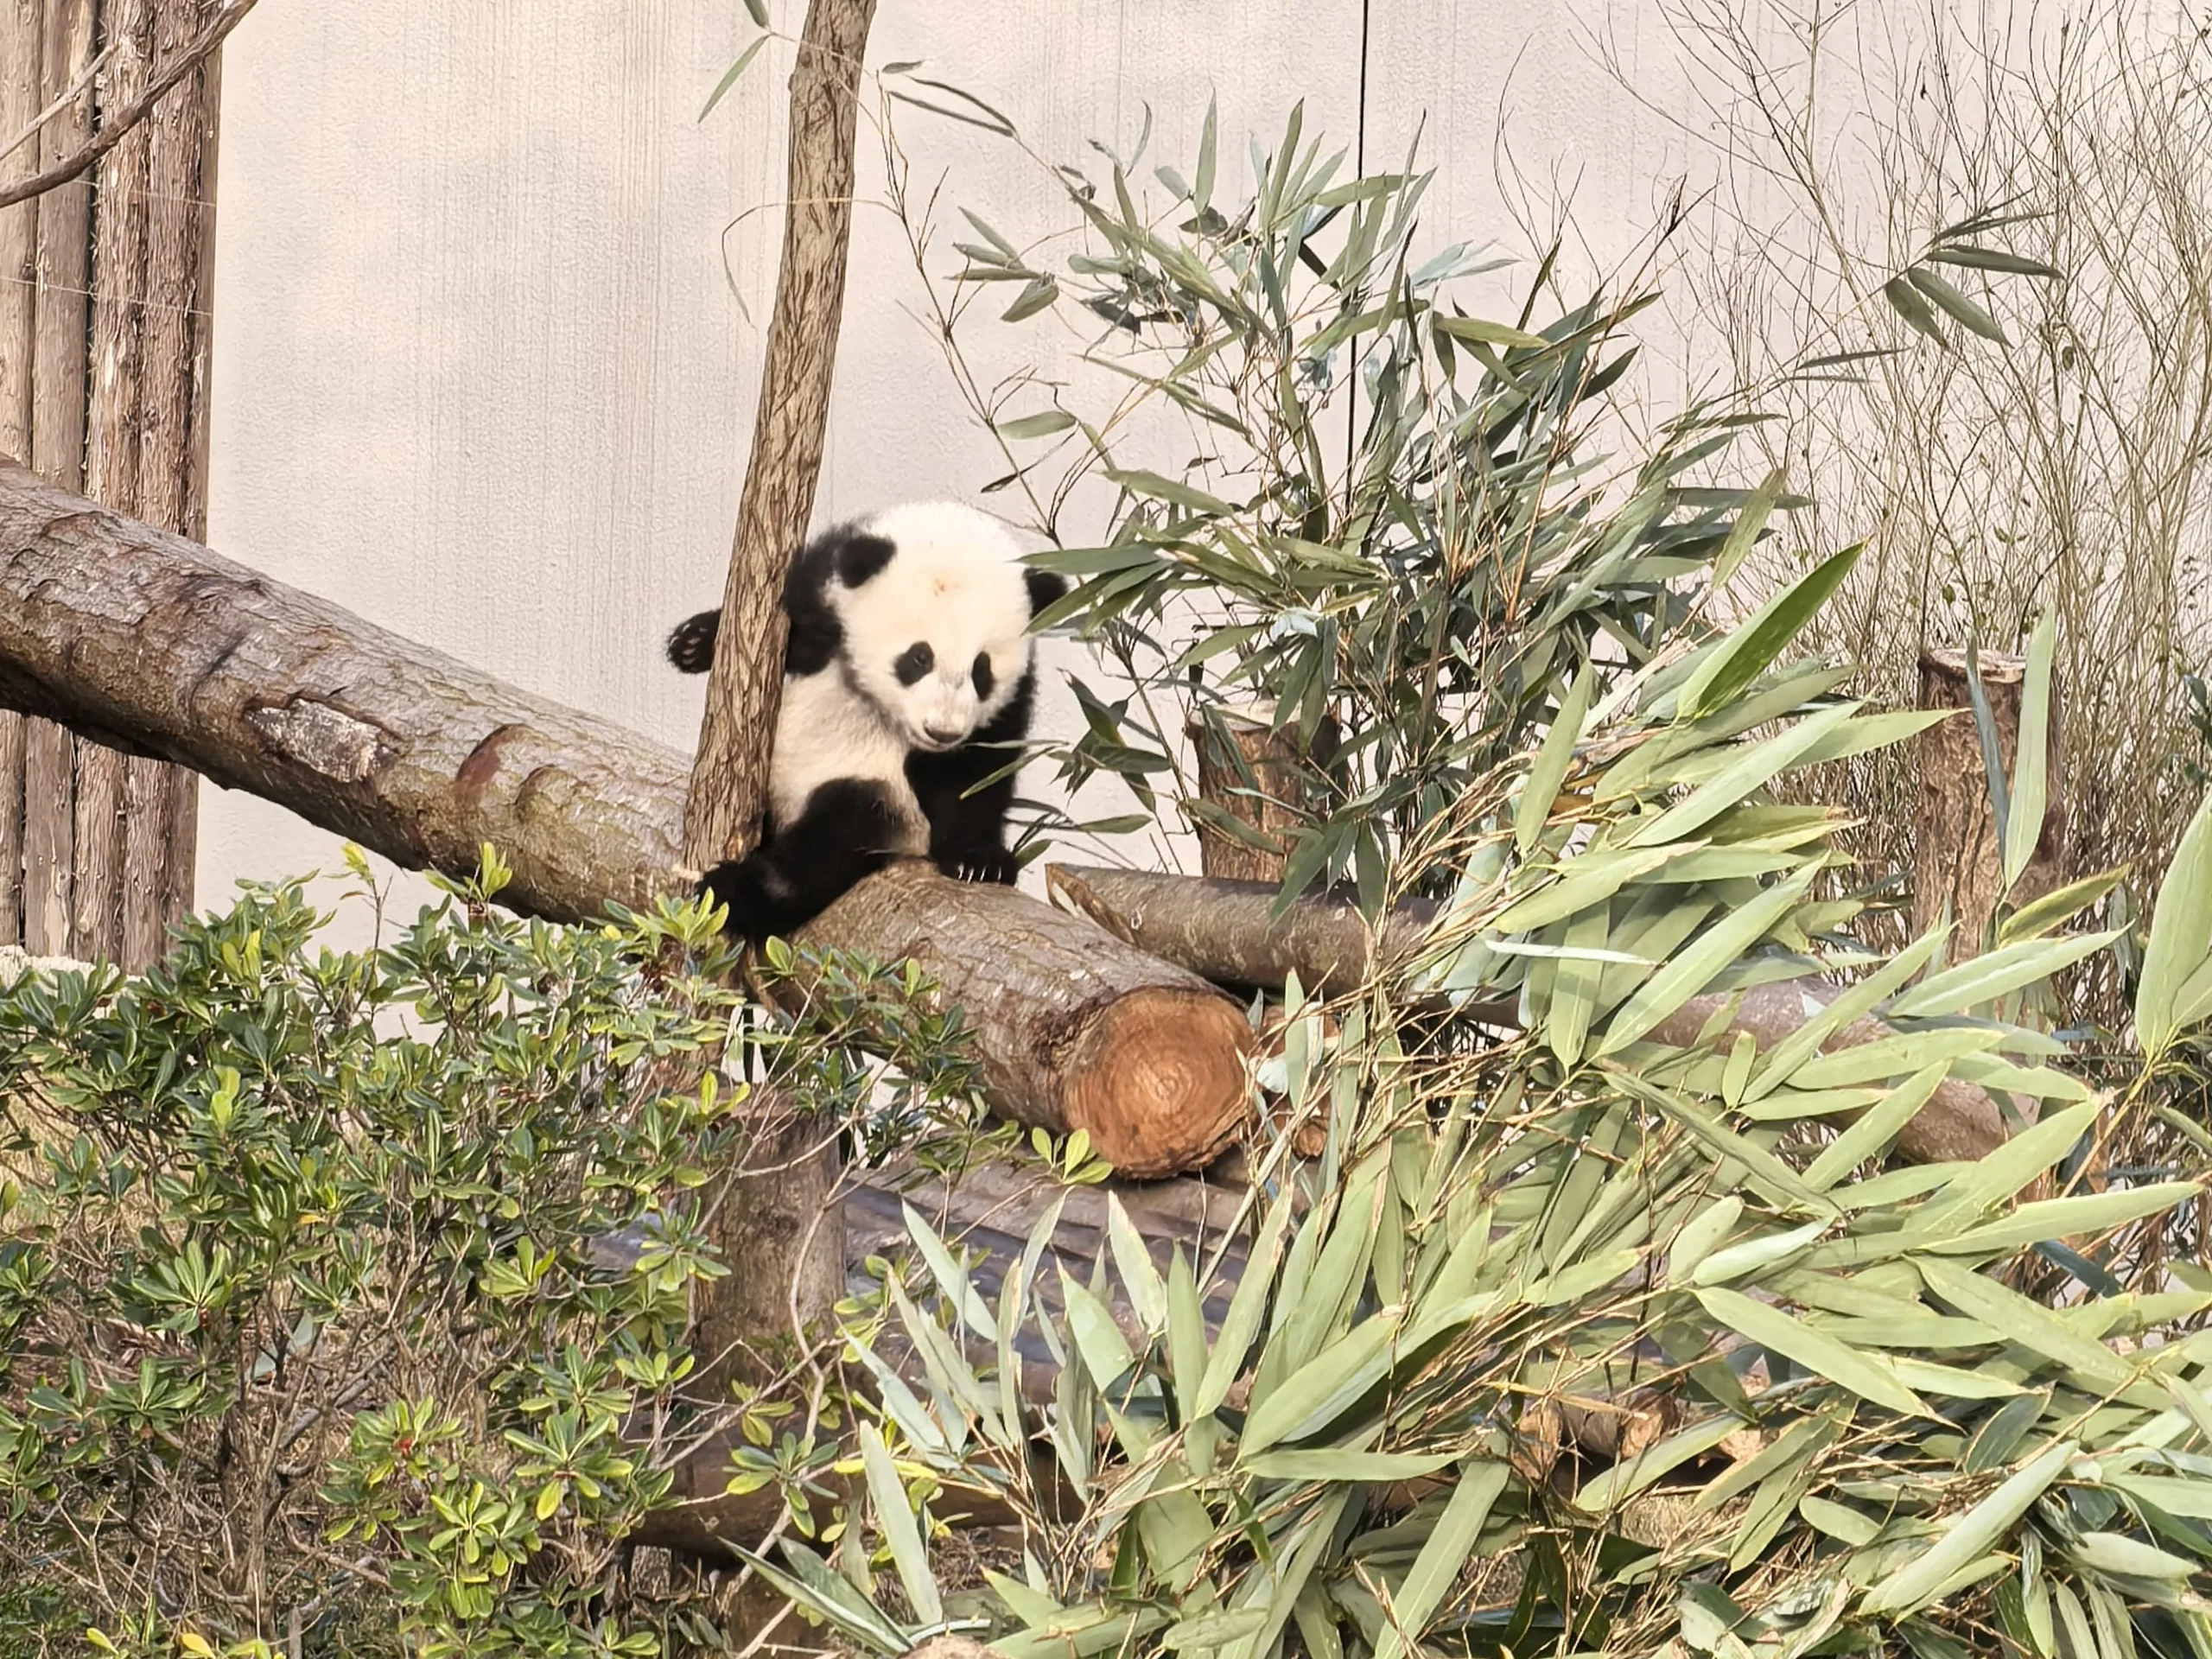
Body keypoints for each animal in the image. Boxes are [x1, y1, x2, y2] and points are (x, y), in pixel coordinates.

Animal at [667, 502, 1067, 945]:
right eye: (919, 657)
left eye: (982, 670)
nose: (942, 732)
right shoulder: (822, 598)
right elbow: (788, 634)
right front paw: (693, 642)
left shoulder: (1002, 709)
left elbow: (977, 774)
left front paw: (979, 862)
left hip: (882, 801)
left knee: (832, 841)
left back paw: (736, 891)